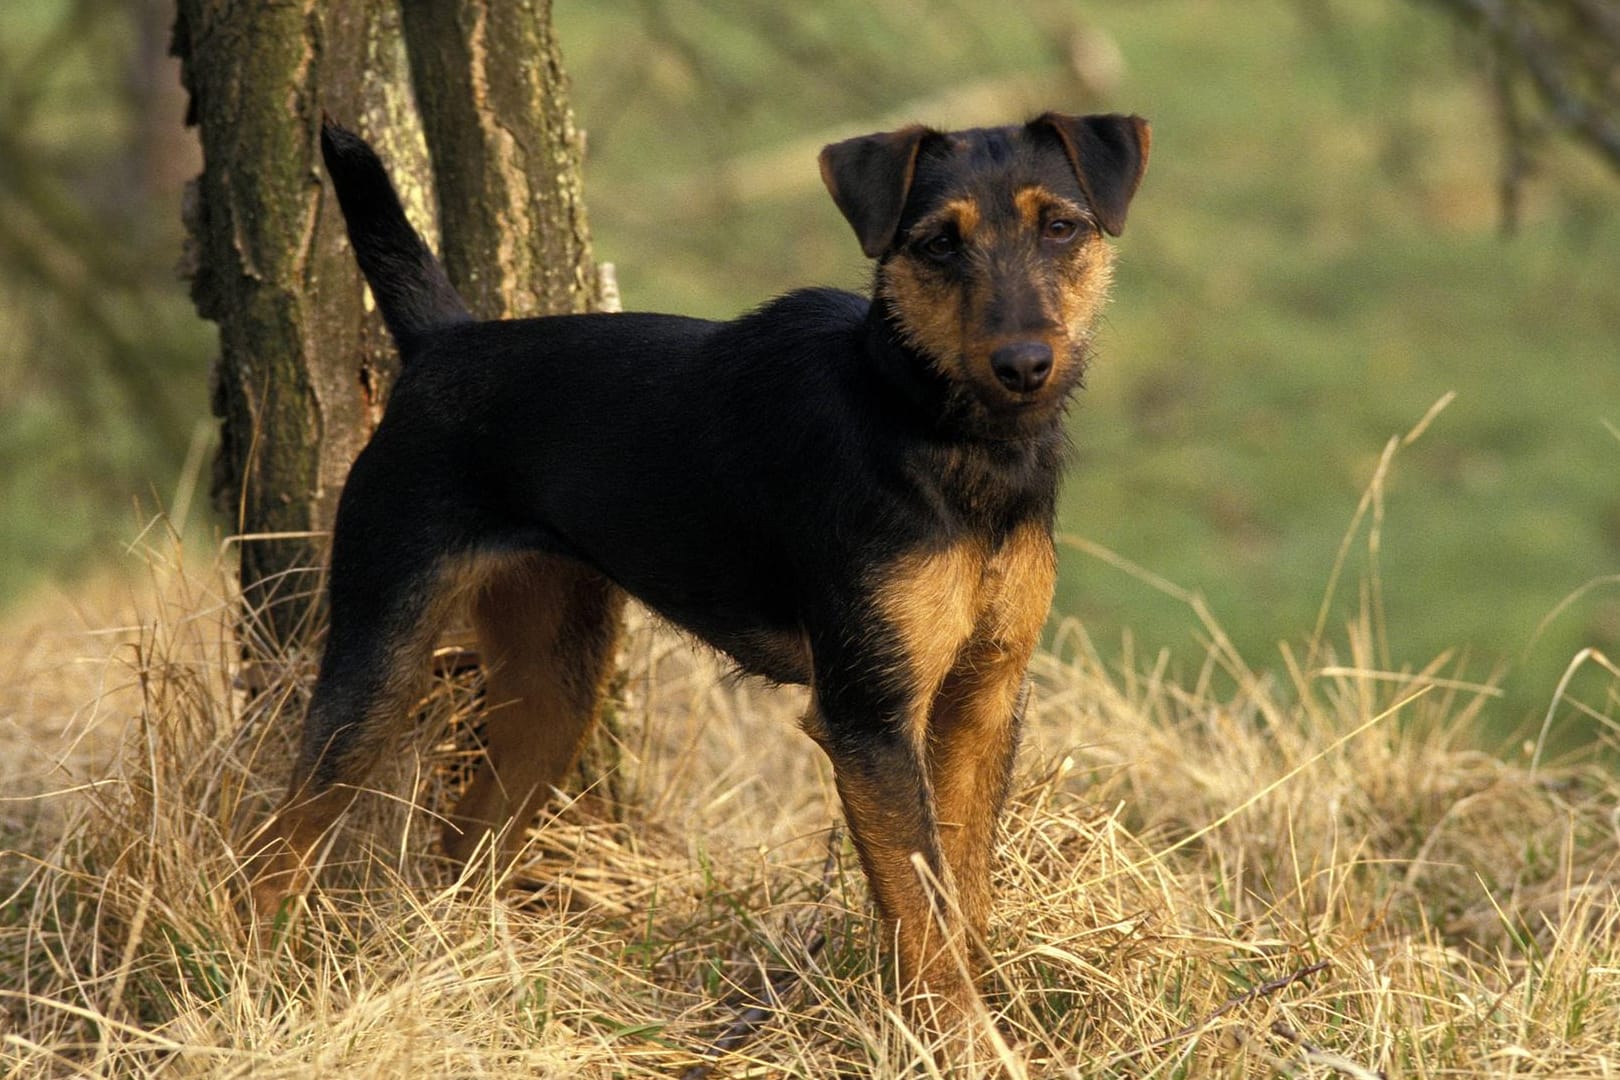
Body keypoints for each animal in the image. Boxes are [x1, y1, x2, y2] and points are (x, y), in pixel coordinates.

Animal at [249, 111, 1153, 1036]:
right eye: (938, 243)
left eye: (1061, 227)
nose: (1024, 364)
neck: (936, 427)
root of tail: (441, 342)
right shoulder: (869, 718)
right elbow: (923, 912)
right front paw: (960, 1041)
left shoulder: (984, 696)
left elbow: (963, 894)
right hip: (380, 653)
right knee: (274, 846)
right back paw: (251, 974)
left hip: (555, 682)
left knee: (465, 842)